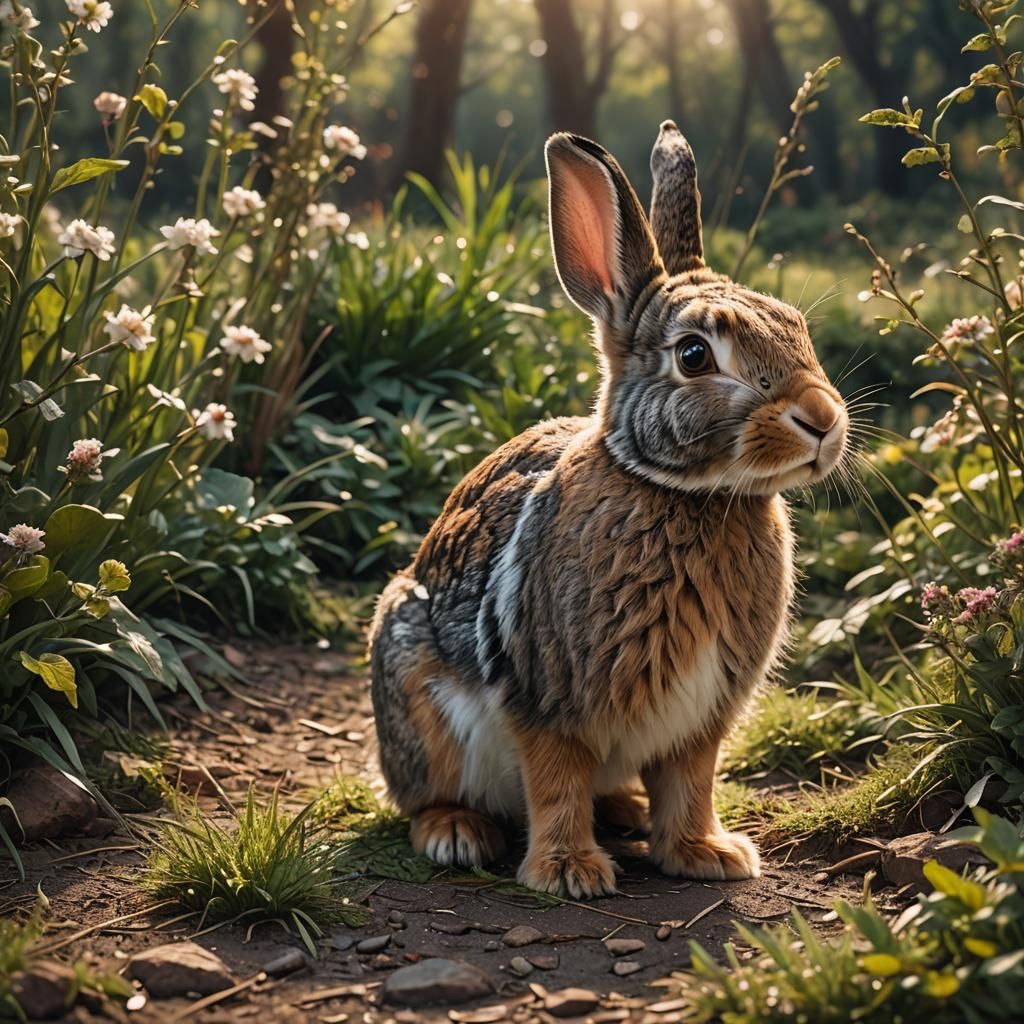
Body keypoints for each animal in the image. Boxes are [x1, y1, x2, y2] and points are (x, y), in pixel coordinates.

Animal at [368, 122, 849, 899]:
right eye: (694, 355)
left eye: (796, 326)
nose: (824, 420)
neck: (684, 493)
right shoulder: (548, 696)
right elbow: (557, 780)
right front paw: (569, 872)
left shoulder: (701, 715)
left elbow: (691, 780)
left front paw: (707, 854)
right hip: (411, 682)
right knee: (426, 792)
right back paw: (456, 833)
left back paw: (625, 811)